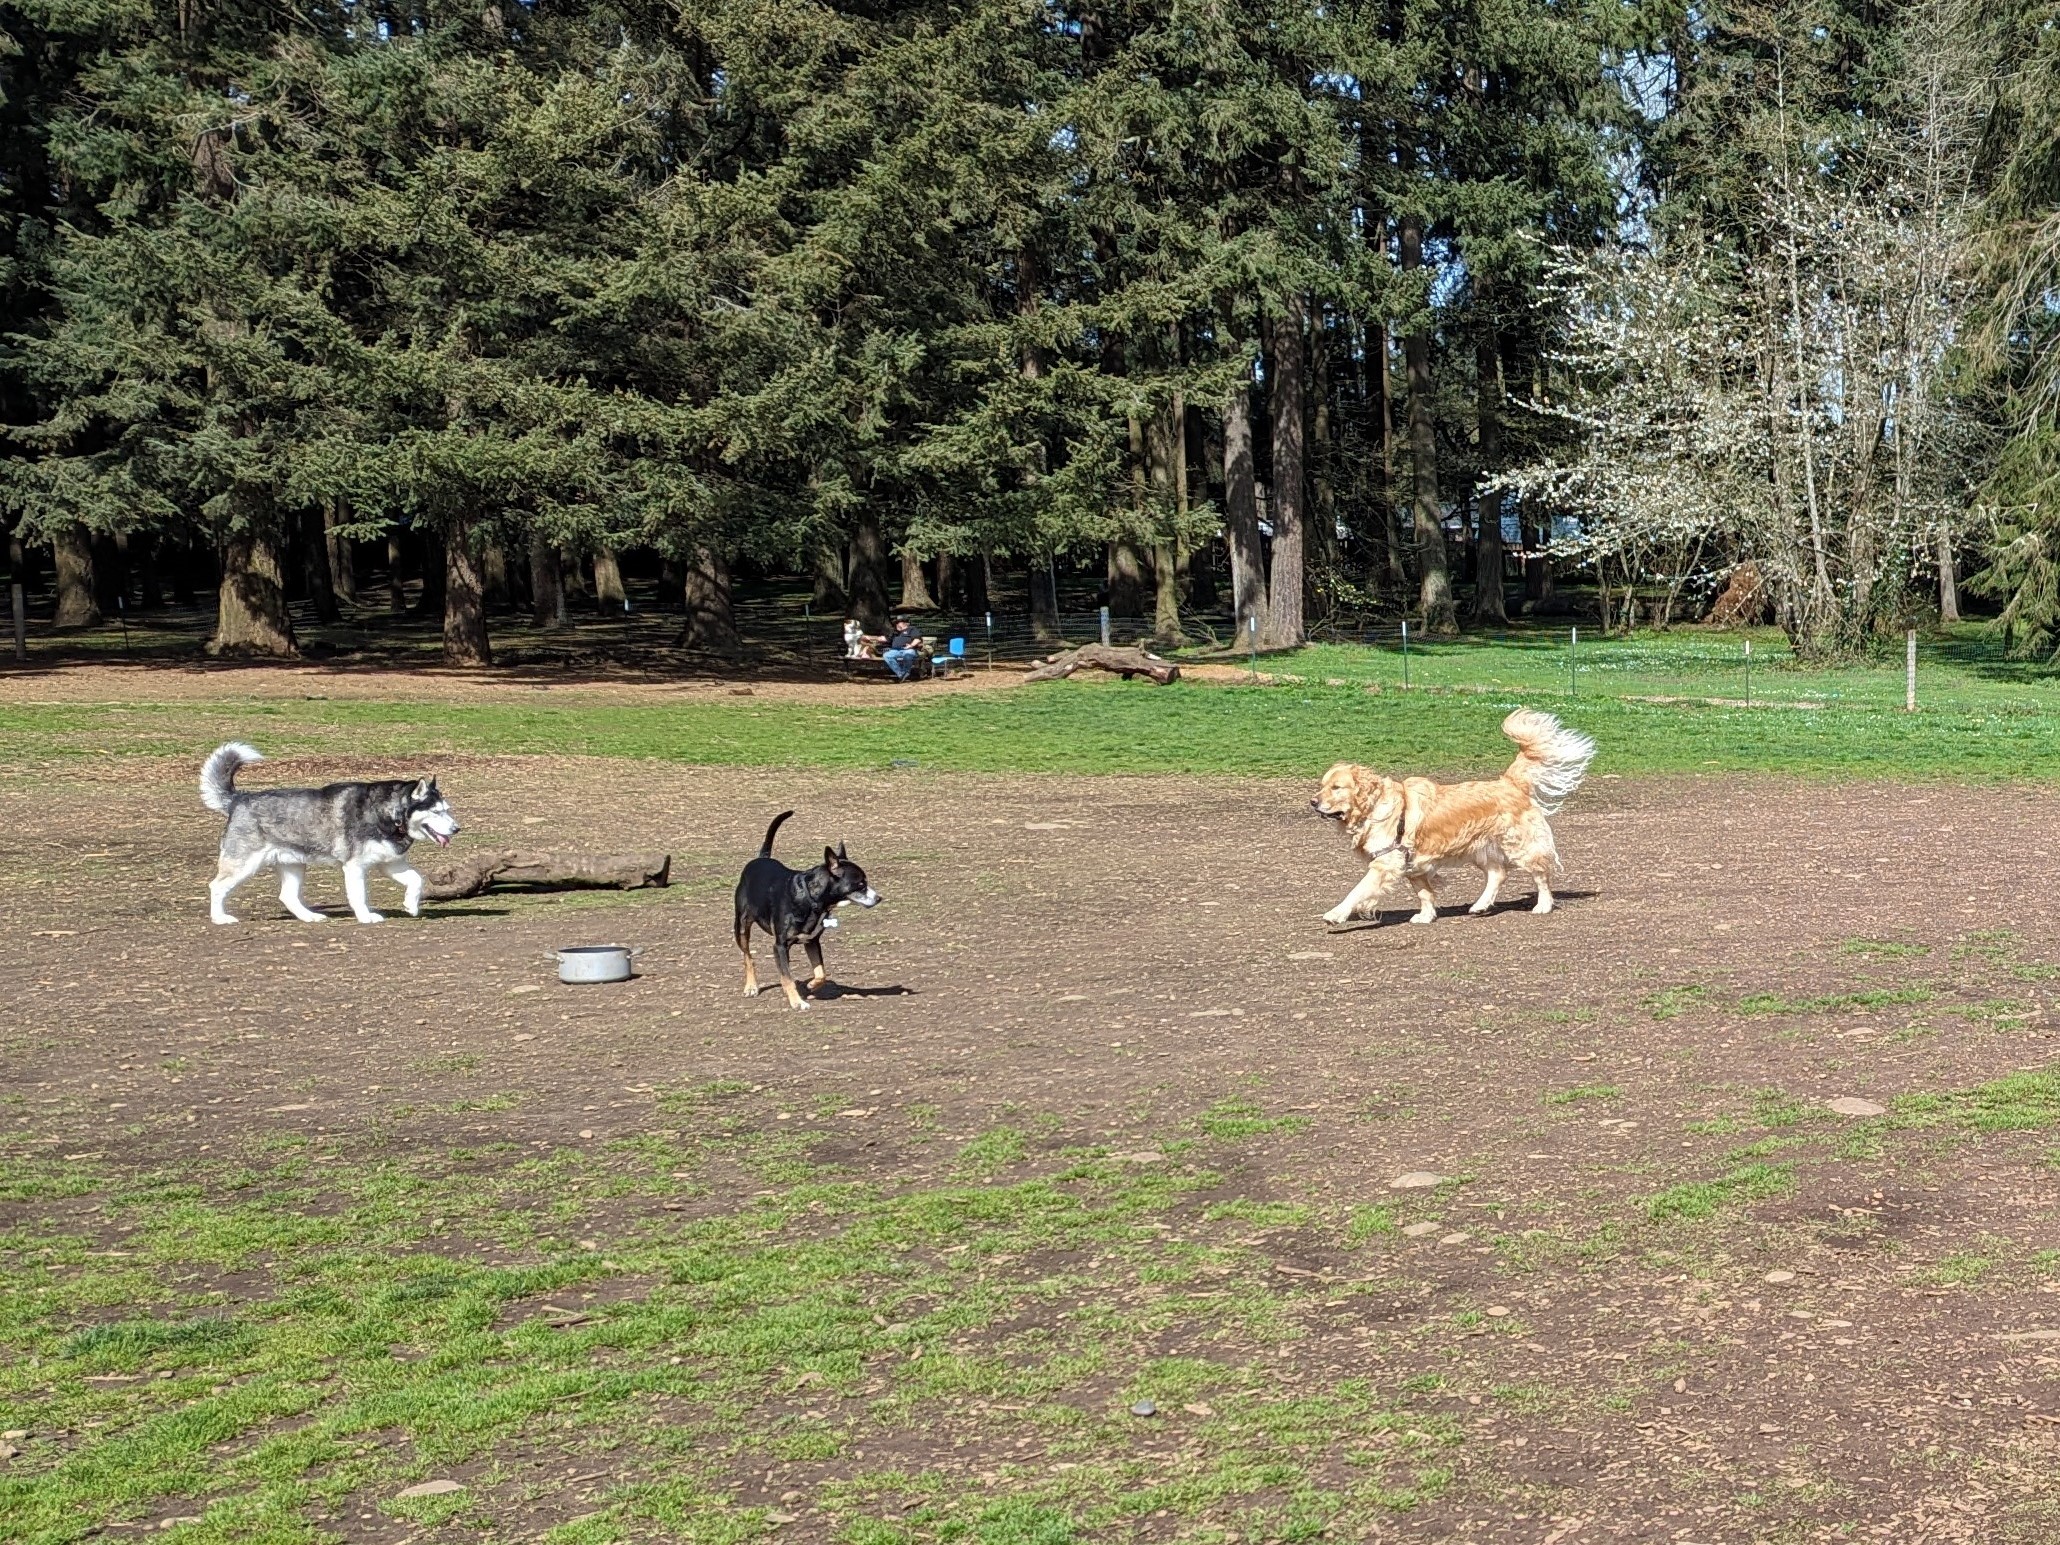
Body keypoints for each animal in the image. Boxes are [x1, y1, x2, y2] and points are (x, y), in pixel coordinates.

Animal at [199, 745, 459, 927]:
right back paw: (220, 918)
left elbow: (416, 880)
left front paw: (411, 906)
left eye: (447, 809)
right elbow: (359, 895)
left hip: (293, 864)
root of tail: (238, 798)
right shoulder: (355, 867)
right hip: (244, 864)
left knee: (287, 896)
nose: (457, 829)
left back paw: (310, 917)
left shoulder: (391, 864)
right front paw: (366, 917)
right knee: (216, 886)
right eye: (437, 811)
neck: (388, 814)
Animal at [733, 811, 877, 1017]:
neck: (812, 900)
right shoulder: (780, 945)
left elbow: (821, 972)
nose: (878, 898)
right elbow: (787, 976)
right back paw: (751, 987)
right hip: (742, 926)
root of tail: (761, 858)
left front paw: (811, 985)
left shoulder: (812, 941)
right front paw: (797, 1002)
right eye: (860, 884)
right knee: (748, 957)